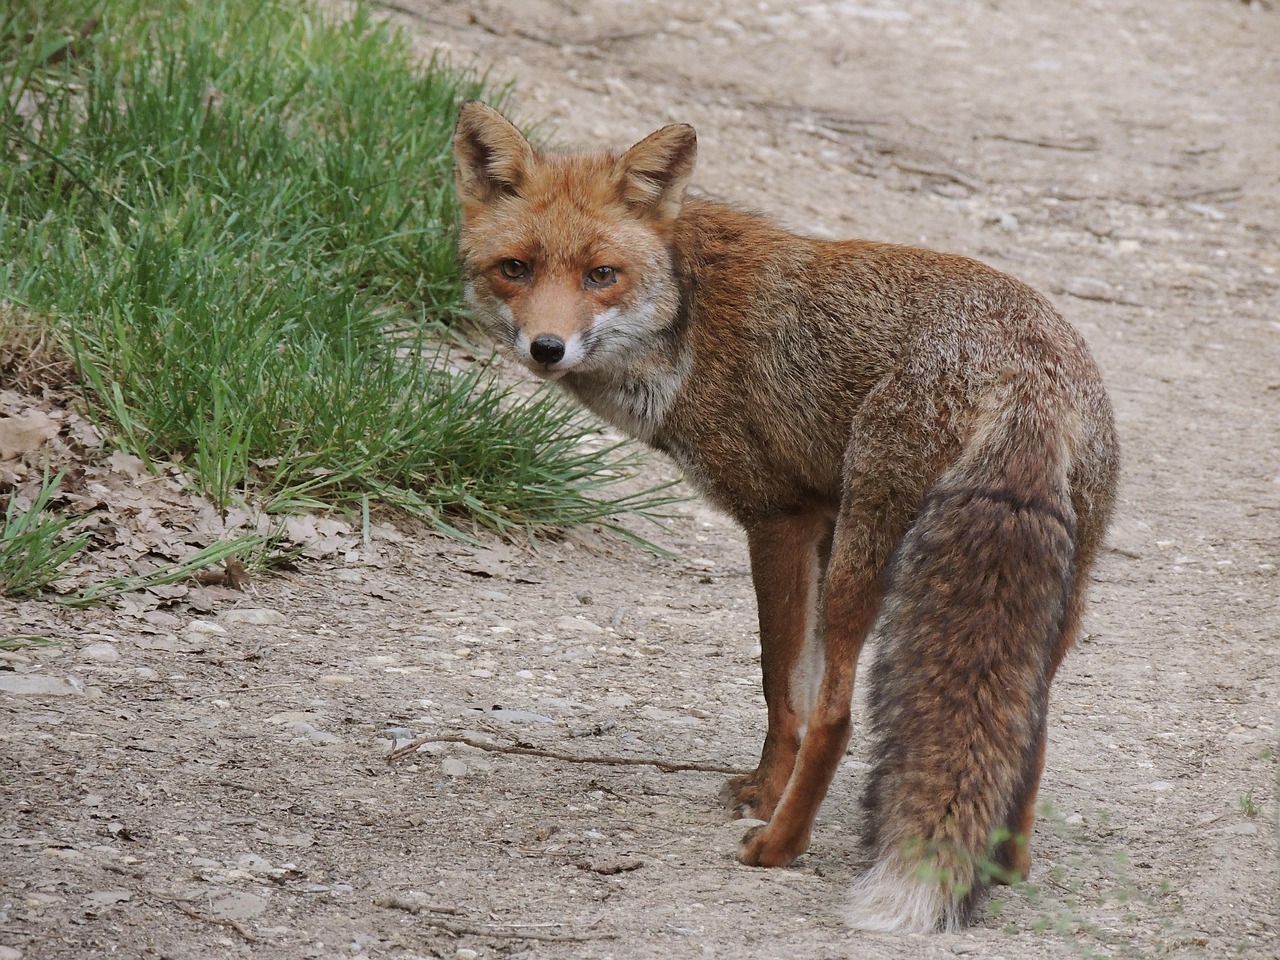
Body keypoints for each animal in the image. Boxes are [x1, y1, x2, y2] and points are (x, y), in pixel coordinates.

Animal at [453, 101, 1121, 936]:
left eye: (600, 275)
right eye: (515, 268)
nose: (548, 348)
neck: (689, 315)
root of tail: (1026, 375)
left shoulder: (780, 518)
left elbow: (785, 695)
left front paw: (765, 796)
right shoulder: (821, 521)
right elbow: (793, 692)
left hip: (866, 563)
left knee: (839, 715)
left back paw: (778, 846)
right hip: (1056, 591)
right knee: (1029, 727)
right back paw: (1002, 868)